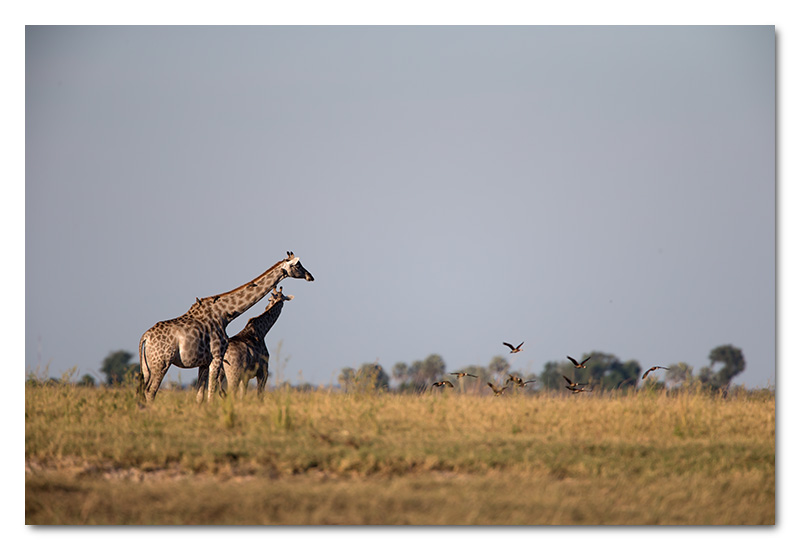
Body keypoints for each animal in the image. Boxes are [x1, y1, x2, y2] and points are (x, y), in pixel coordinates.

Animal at [138, 252, 312, 404]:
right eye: (298, 265)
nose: (310, 276)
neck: (224, 315)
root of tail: (145, 338)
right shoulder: (218, 356)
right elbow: (211, 394)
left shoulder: (204, 362)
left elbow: (200, 396)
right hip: (161, 363)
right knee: (151, 391)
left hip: (148, 367)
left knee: (144, 390)